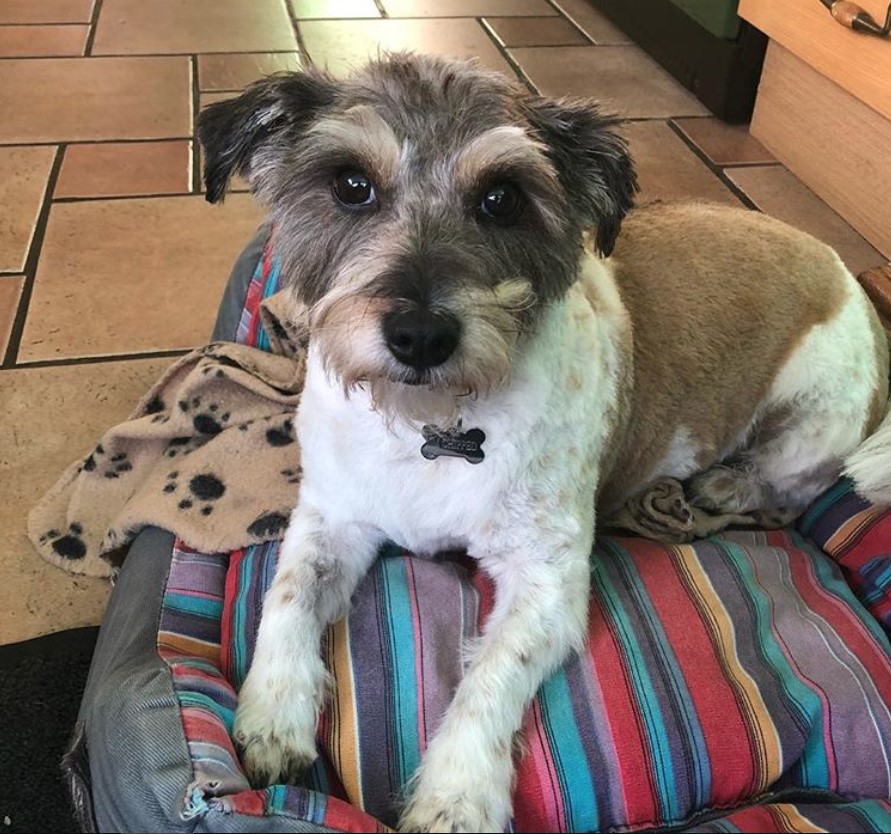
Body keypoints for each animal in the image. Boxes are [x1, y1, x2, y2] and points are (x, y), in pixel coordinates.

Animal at [197, 53, 891, 832]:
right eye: (350, 185)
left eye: (502, 198)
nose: (419, 334)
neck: (434, 424)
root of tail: (845, 274)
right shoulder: (332, 518)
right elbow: (287, 595)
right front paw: (273, 715)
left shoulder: (547, 582)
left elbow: (489, 678)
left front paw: (455, 797)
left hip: (811, 424)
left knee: (784, 491)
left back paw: (720, 485)